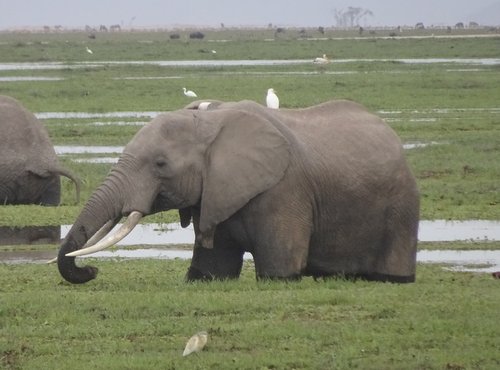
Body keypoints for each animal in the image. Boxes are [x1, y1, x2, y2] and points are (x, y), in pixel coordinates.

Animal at [56, 97, 420, 284]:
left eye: (160, 164)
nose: (91, 271)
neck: (211, 123)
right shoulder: (215, 191)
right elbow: (212, 272)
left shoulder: (284, 191)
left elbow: (279, 272)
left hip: (402, 206)